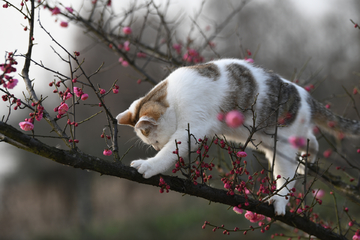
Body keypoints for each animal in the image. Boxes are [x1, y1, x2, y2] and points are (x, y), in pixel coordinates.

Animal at [116, 58, 360, 216]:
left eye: (156, 142)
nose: (156, 148)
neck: (173, 97)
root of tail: (306, 97)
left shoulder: (192, 127)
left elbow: (171, 152)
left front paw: (150, 165)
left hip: (281, 146)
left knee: (286, 176)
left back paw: (280, 201)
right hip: (269, 141)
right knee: (311, 137)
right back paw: (307, 156)